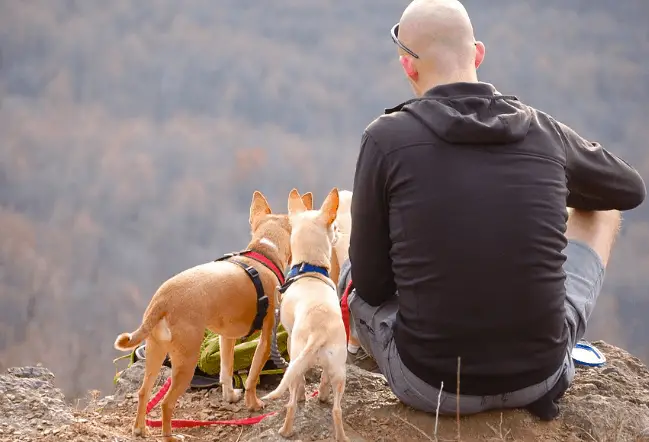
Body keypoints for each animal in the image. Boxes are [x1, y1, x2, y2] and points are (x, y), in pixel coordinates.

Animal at [114, 190, 312, 442]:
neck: (263, 253)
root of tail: (162, 300)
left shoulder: (226, 337)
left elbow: (226, 371)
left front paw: (231, 396)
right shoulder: (267, 337)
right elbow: (252, 376)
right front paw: (253, 404)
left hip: (155, 352)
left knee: (143, 391)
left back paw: (140, 429)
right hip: (185, 361)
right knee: (166, 403)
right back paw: (170, 436)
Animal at [260, 187, 350, 442]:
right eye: (334, 227)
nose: (339, 233)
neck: (309, 269)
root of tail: (319, 332)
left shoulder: (290, 341)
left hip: (297, 354)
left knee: (291, 399)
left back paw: (285, 430)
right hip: (339, 369)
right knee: (337, 408)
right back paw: (340, 433)